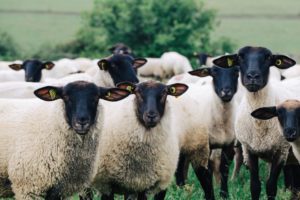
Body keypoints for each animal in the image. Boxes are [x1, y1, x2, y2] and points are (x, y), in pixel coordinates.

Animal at [213, 46, 298, 199]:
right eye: (240, 57)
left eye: (268, 57)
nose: (252, 76)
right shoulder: (249, 150)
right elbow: (255, 186)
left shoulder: (281, 150)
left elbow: (271, 186)